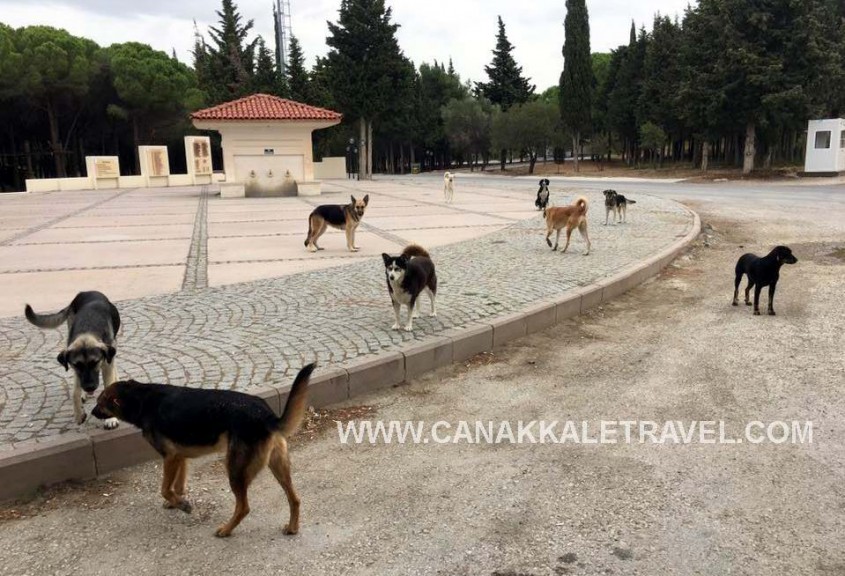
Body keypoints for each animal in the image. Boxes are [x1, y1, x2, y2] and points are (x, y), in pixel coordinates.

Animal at [25, 292, 120, 428]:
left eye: (95, 362)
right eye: (78, 365)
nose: (89, 387)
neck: (87, 330)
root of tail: (86, 292)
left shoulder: (107, 363)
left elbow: (108, 386)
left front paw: (110, 418)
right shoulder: (75, 369)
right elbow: (75, 392)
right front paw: (79, 413)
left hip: (112, 350)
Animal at [92, 362, 314, 536]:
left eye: (100, 402)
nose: (91, 413)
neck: (142, 400)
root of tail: (267, 416)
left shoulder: (170, 457)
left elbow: (164, 489)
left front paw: (182, 505)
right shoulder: (179, 457)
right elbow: (177, 486)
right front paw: (177, 502)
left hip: (235, 470)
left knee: (244, 507)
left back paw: (226, 530)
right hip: (279, 468)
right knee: (295, 499)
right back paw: (292, 527)